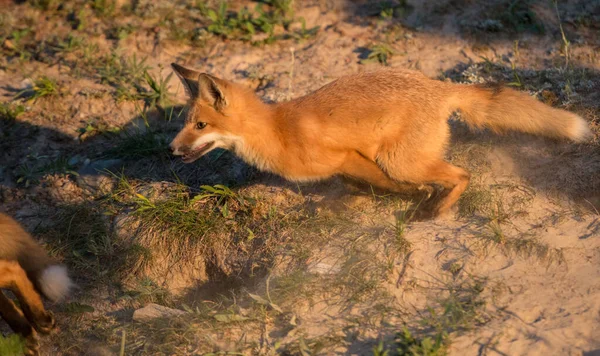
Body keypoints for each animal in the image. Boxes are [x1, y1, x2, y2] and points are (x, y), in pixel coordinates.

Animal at [169, 64, 592, 217]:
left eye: (201, 125)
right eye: (188, 124)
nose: (170, 150)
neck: (278, 131)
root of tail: (438, 86)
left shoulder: (348, 156)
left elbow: (386, 184)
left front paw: (414, 196)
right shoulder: (349, 165)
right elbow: (362, 185)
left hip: (400, 159)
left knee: (461, 174)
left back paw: (434, 211)